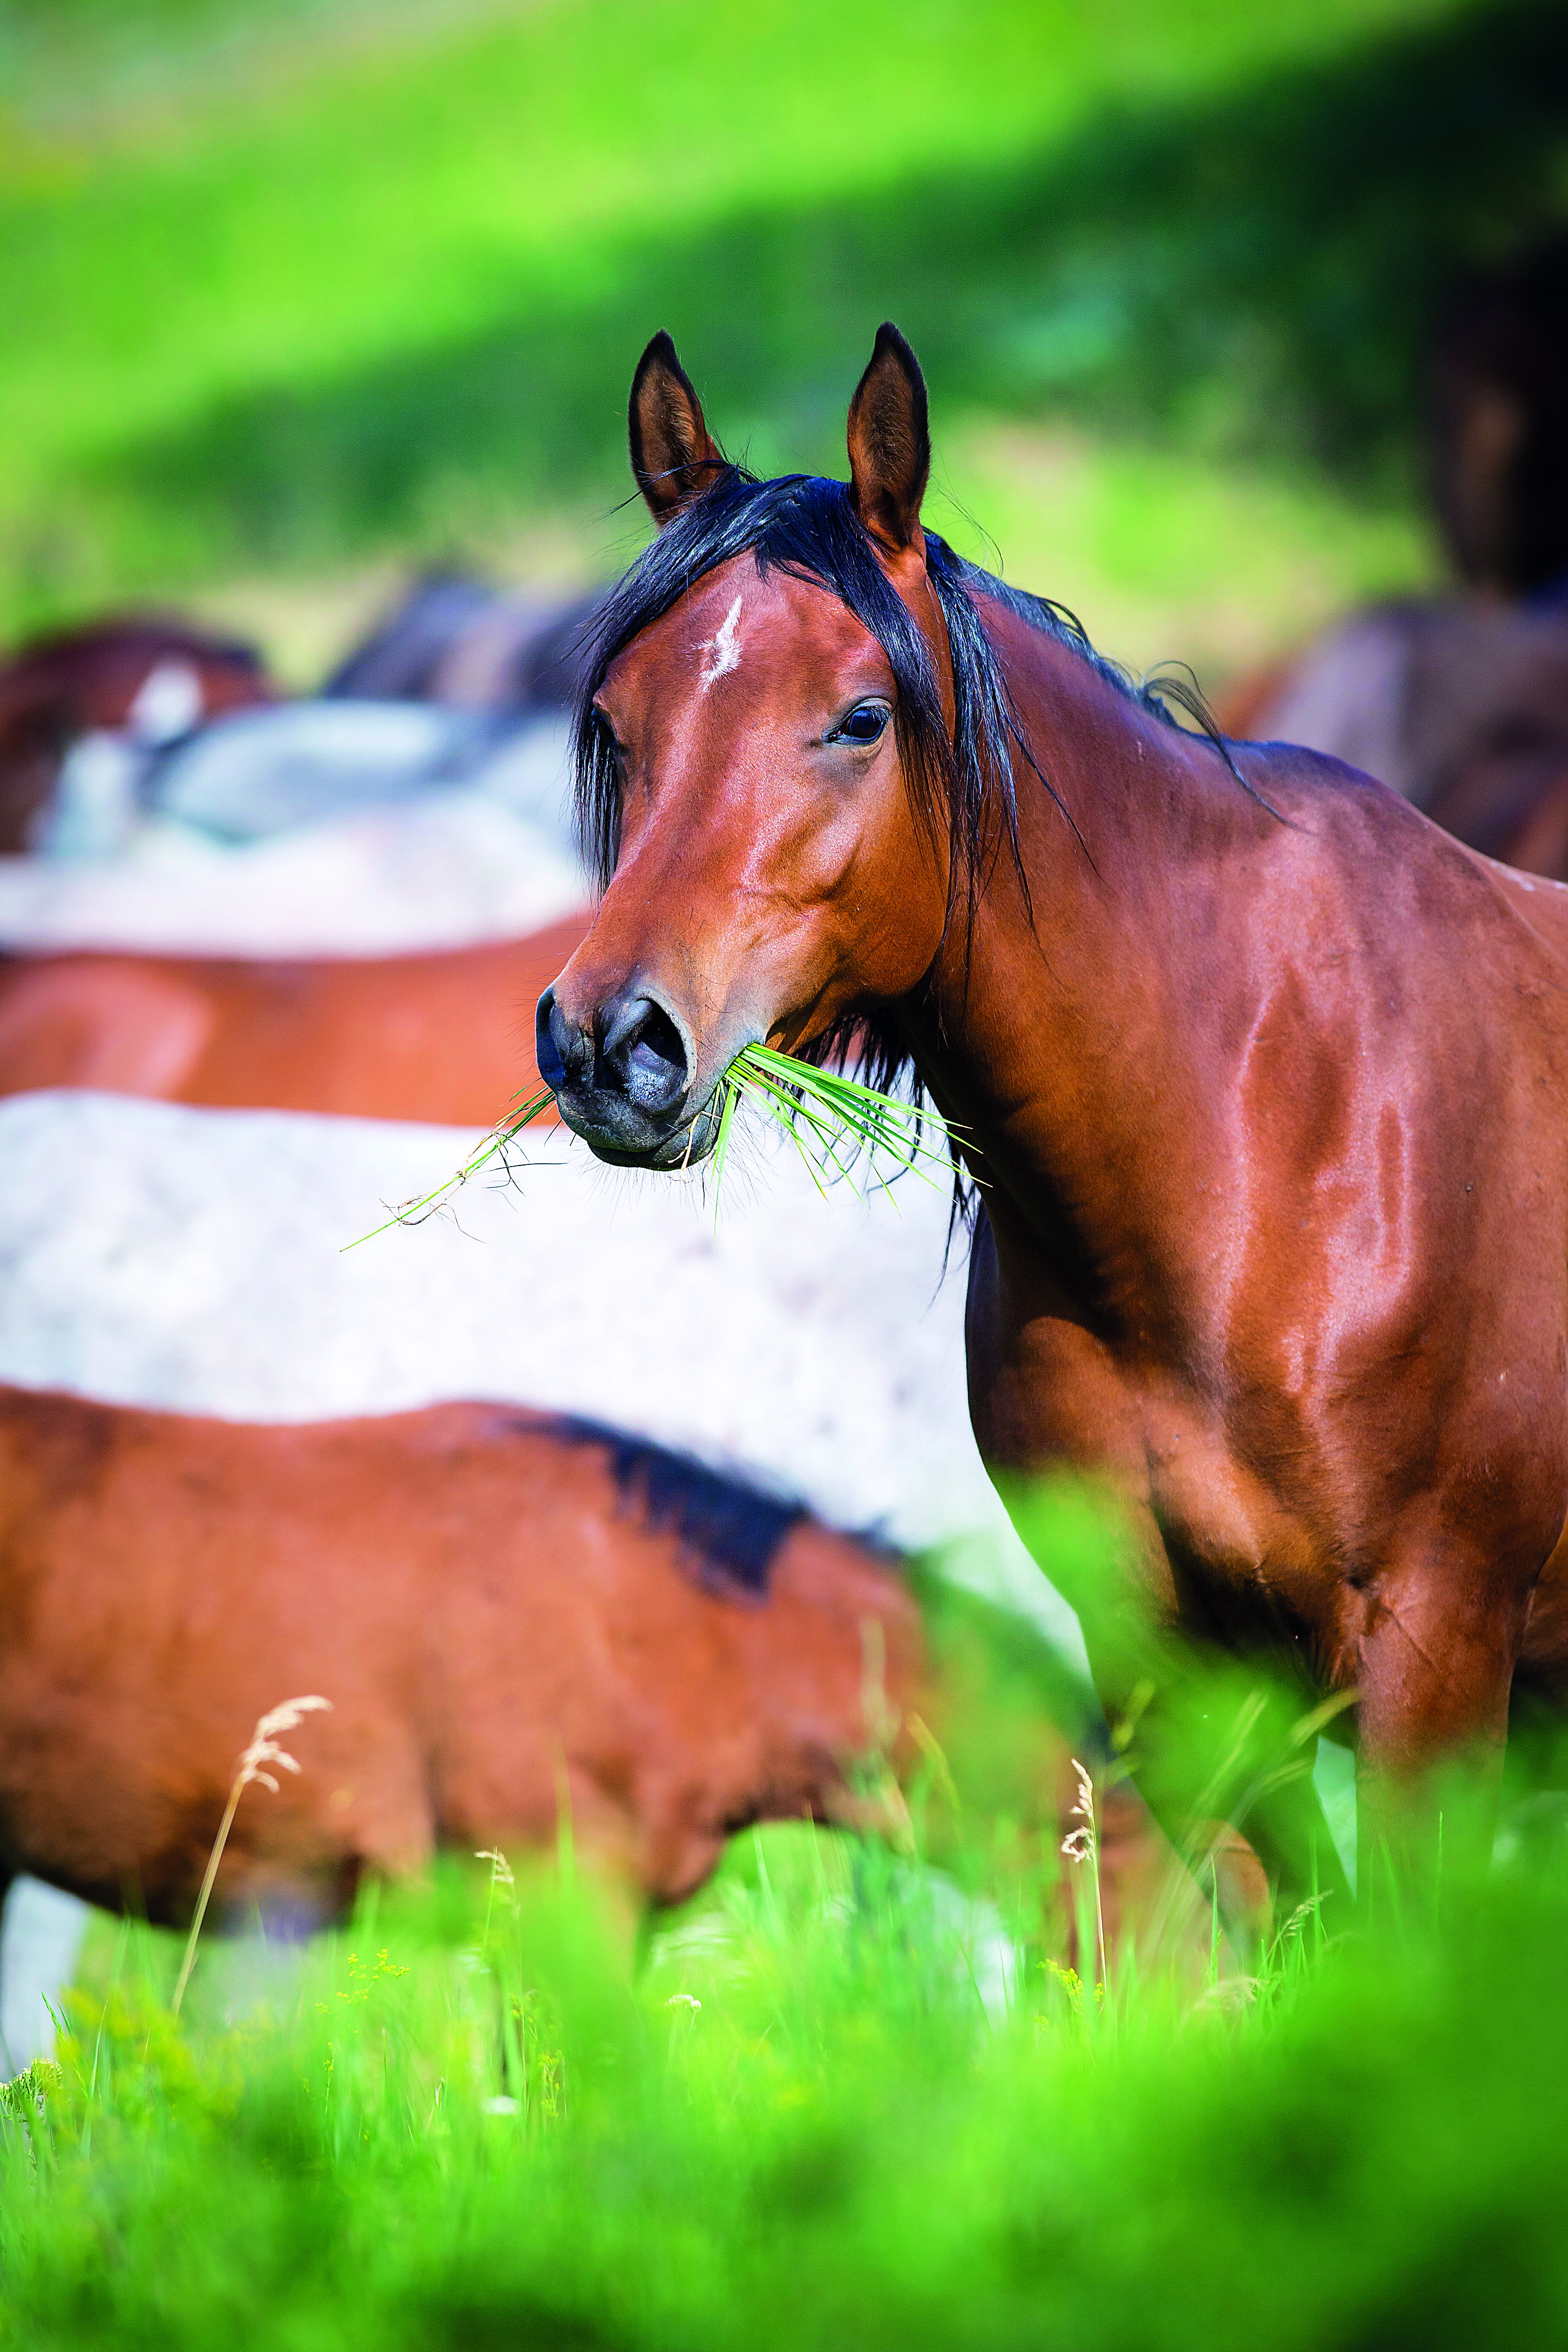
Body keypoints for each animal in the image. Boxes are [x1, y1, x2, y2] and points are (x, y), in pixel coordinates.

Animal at [540, 322, 1568, 1919]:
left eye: (860, 718)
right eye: (614, 722)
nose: (609, 1042)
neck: (1263, 1142)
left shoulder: (1436, 1658)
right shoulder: (1176, 1683)